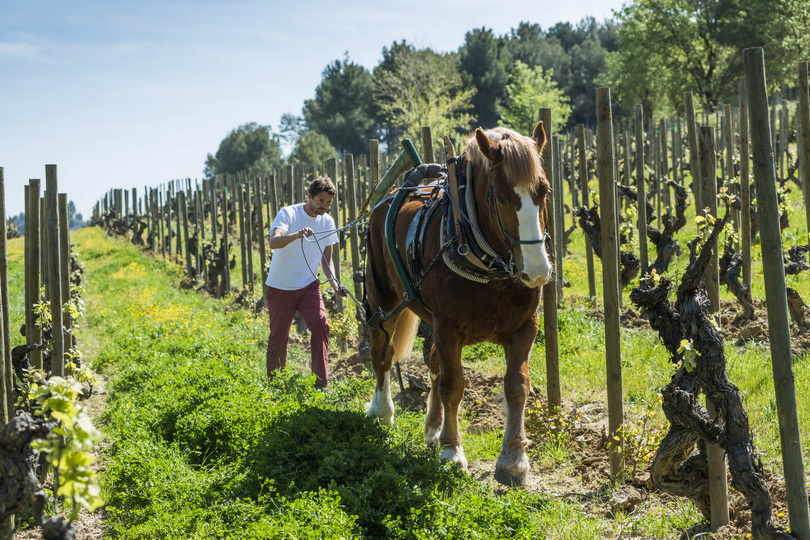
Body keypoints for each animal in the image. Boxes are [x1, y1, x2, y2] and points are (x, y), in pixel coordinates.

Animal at [362, 122, 552, 486]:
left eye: (544, 191)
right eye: (500, 196)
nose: (537, 270)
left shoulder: (525, 327)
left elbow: (516, 386)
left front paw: (513, 459)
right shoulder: (449, 327)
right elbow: (454, 385)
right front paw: (452, 453)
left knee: (435, 364)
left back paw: (433, 429)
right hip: (382, 298)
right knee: (383, 353)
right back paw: (382, 410)